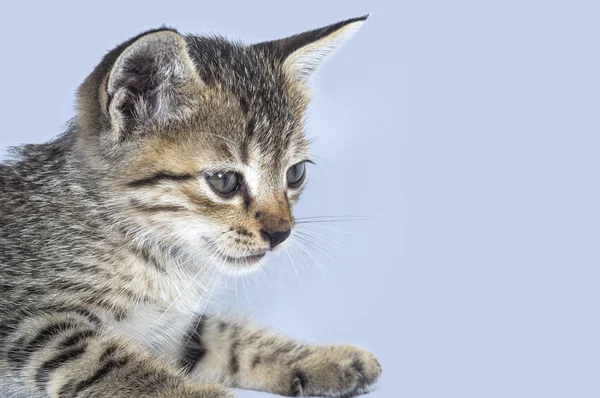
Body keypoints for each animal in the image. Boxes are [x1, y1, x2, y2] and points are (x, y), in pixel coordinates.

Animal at [0, 15, 382, 398]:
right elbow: (110, 361)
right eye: (224, 181)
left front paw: (319, 358)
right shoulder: (30, 322)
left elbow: (223, 335)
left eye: (295, 173)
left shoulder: (174, 330)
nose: (281, 234)